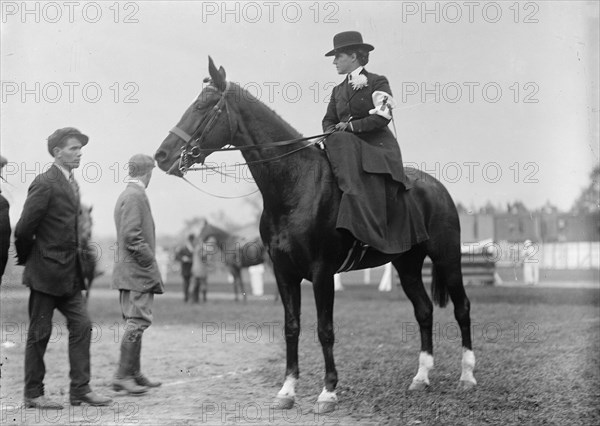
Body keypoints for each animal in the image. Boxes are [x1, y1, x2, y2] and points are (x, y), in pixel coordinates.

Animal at [156, 56, 478, 412]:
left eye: (203, 105)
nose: (162, 156)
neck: (296, 186)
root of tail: (437, 187)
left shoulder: (322, 272)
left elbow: (325, 330)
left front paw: (328, 392)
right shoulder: (284, 273)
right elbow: (291, 328)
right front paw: (287, 391)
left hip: (447, 258)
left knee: (462, 308)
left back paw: (467, 377)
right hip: (406, 264)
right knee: (423, 310)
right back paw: (421, 378)